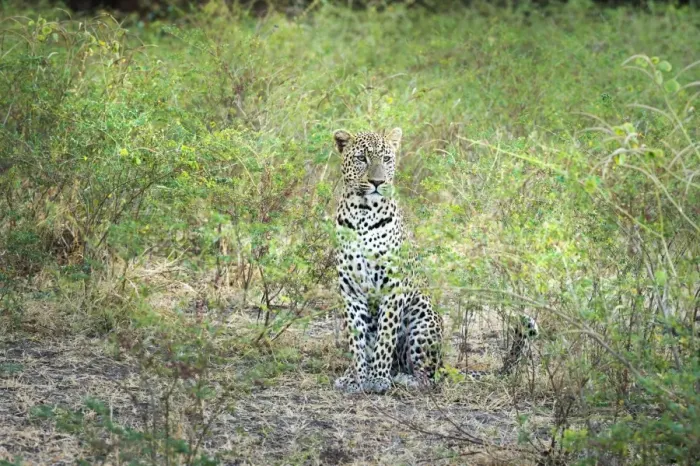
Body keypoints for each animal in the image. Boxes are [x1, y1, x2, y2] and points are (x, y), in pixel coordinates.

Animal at [331, 127, 539, 394]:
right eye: (361, 158)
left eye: (386, 159)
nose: (378, 182)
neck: (363, 213)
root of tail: (444, 364)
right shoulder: (351, 290)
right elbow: (357, 340)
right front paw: (358, 378)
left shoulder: (394, 287)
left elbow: (386, 335)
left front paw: (377, 378)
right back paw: (352, 374)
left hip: (422, 316)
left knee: (429, 377)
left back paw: (403, 379)